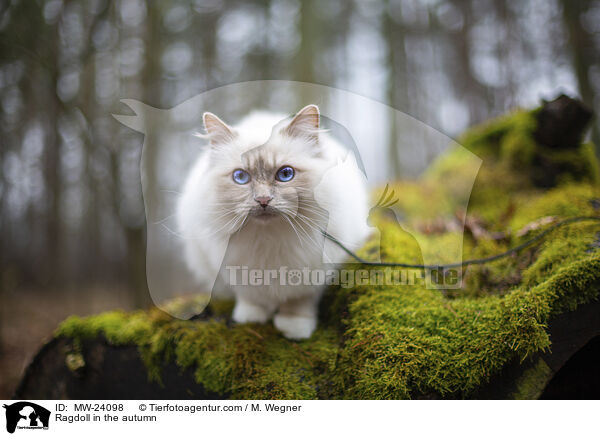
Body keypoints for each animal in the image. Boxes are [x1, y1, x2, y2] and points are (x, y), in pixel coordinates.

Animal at [176, 105, 368, 340]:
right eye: (241, 177)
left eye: (285, 174)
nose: (263, 200)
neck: (269, 238)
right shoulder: (236, 271)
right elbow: (251, 298)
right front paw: (251, 319)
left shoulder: (314, 273)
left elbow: (298, 303)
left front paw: (294, 329)